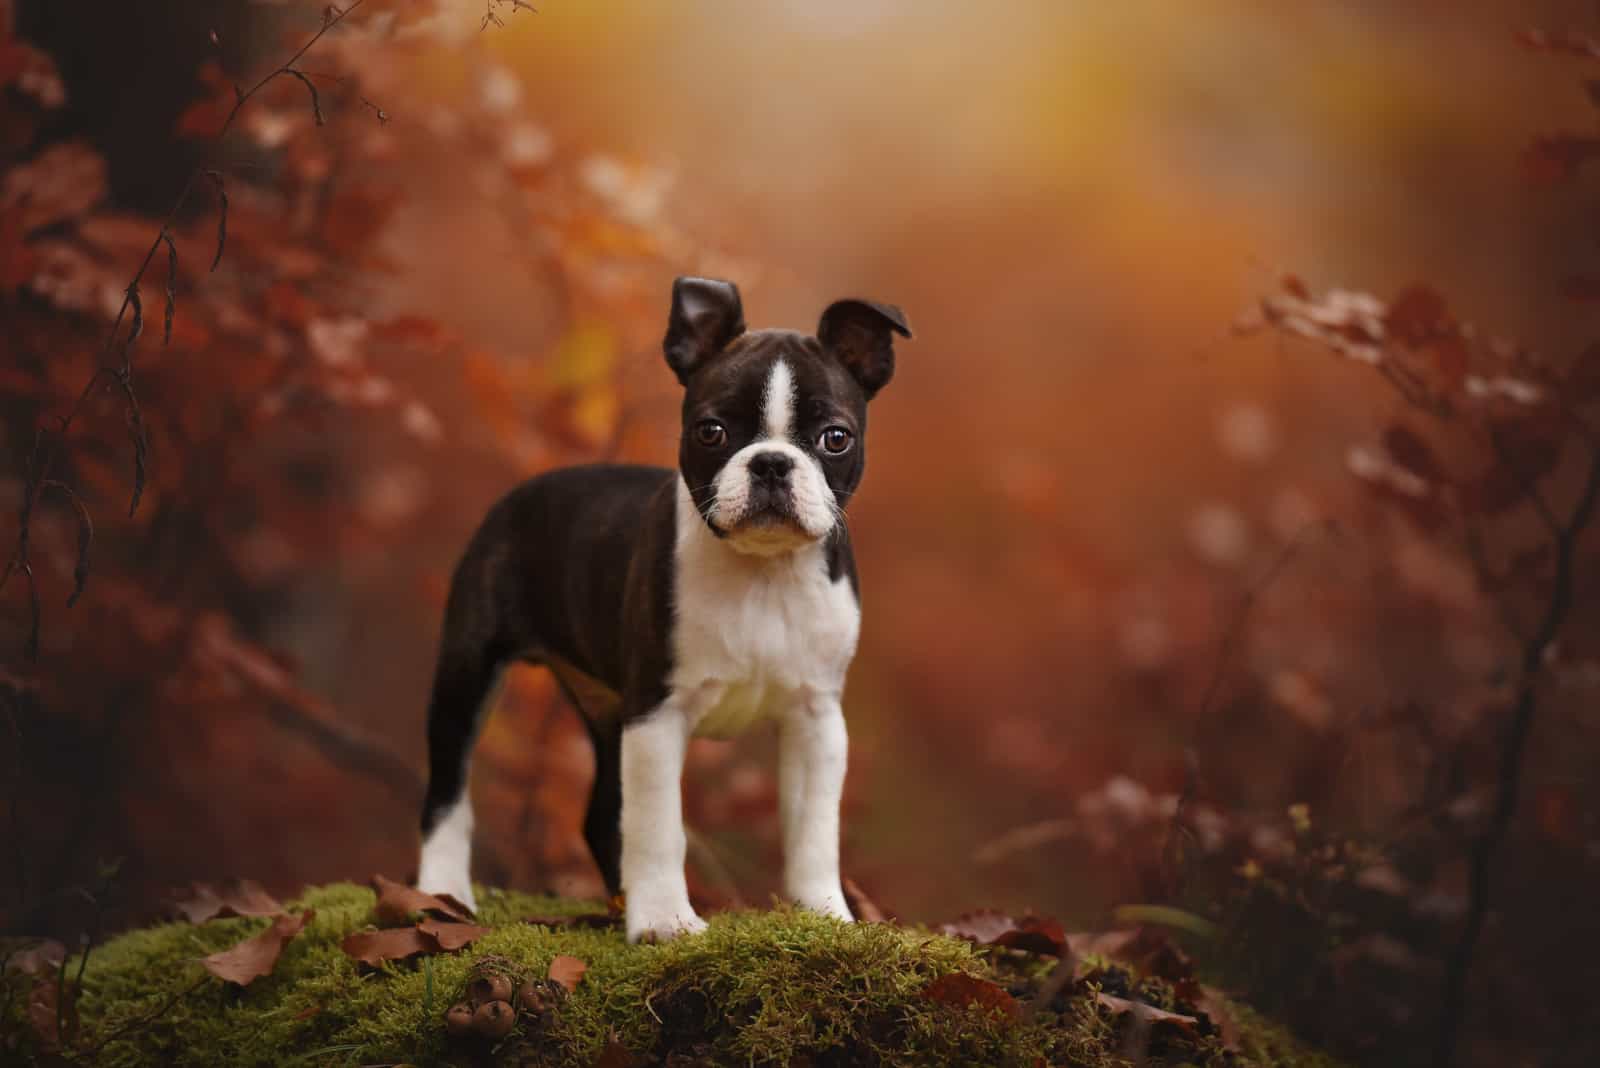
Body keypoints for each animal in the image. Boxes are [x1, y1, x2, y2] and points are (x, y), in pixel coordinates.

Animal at [416, 274, 915, 940]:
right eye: (711, 432)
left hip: (607, 711)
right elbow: (659, 827)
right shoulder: (657, 713)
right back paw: (443, 894)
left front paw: (824, 914)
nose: (771, 462)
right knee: (447, 788)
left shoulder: (816, 717)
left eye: (836, 438)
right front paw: (664, 920)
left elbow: (813, 831)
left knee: (602, 813)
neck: (762, 574)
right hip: (469, 668)